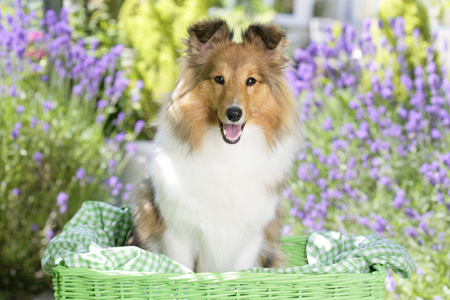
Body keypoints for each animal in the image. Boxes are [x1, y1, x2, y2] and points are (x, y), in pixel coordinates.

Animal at [133, 18, 302, 272]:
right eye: (219, 79)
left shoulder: (250, 239)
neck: (227, 151)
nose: (234, 113)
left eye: (251, 81)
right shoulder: (177, 233)